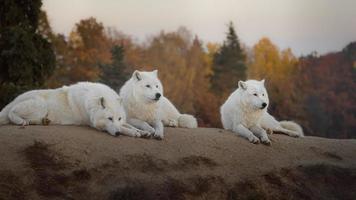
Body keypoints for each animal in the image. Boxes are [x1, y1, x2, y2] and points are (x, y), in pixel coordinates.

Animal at [0, 81, 150, 138]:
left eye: (119, 118)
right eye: (109, 119)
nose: (117, 134)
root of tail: (14, 99)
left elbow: (127, 124)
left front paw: (143, 132)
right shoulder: (93, 124)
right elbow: (125, 128)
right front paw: (134, 133)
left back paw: (44, 121)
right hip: (40, 106)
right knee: (12, 113)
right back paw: (21, 122)